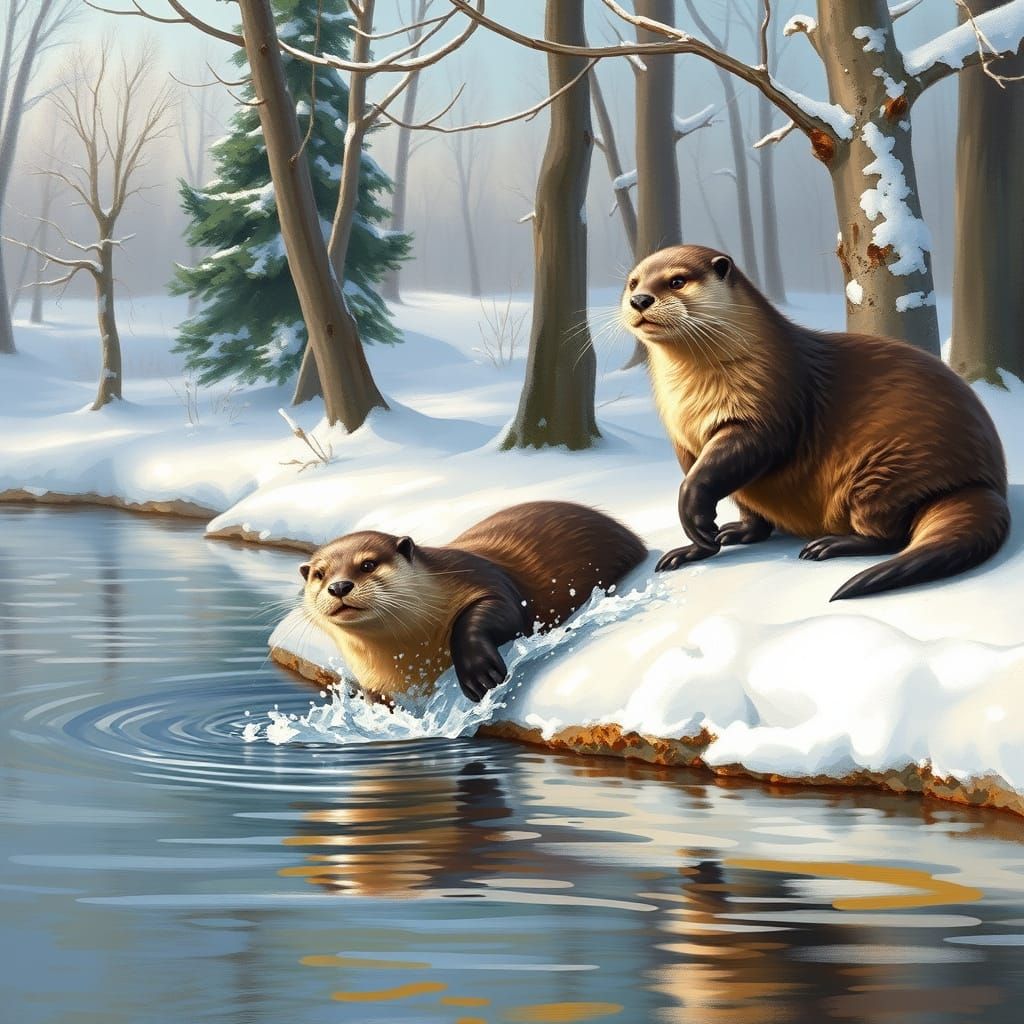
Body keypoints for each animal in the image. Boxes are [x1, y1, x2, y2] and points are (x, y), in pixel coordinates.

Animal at [300, 501, 646, 702]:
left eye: (368, 564)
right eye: (319, 574)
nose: (339, 586)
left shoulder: (483, 578)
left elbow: (497, 612)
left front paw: (480, 675)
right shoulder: (374, 681)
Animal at [622, 244, 1009, 600]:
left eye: (677, 281)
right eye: (633, 282)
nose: (640, 299)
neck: (693, 399)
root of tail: (982, 482)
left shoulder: (769, 403)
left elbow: (729, 463)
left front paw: (695, 521)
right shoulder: (683, 442)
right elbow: (727, 493)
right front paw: (702, 544)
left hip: (886, 470)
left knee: (889, 535)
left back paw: (831, 545)